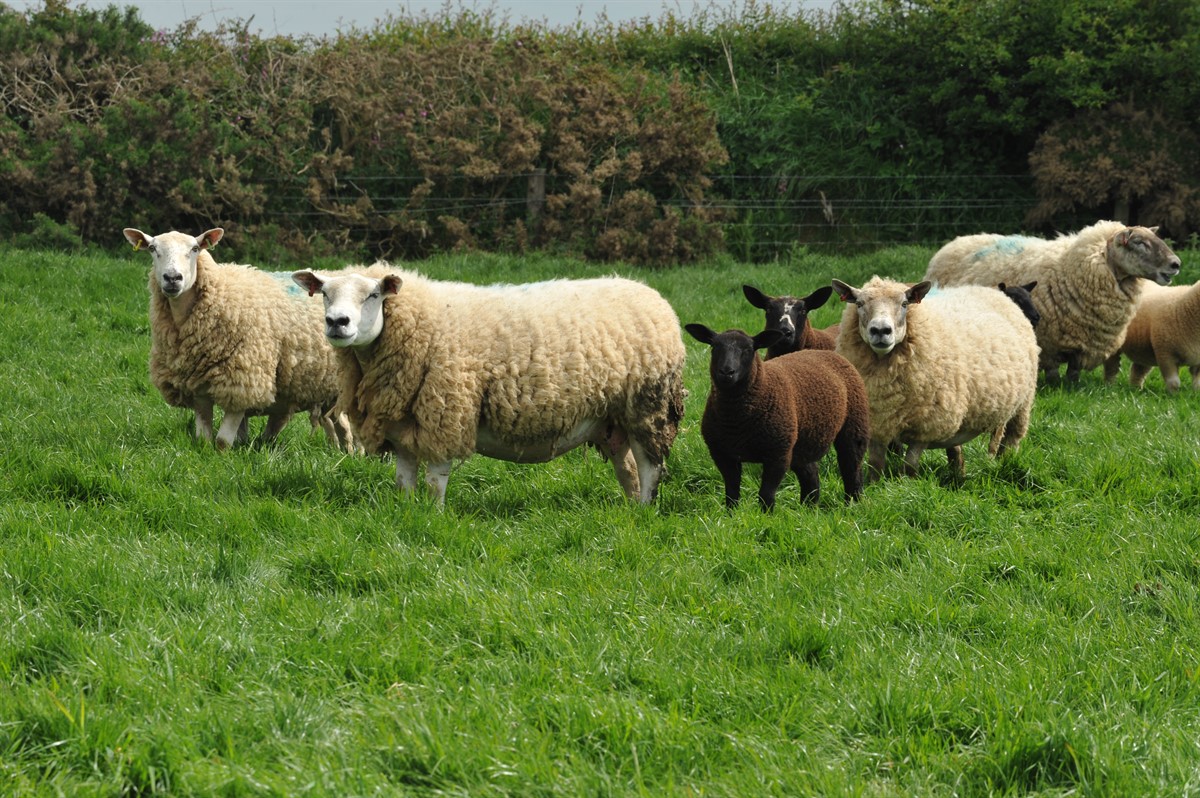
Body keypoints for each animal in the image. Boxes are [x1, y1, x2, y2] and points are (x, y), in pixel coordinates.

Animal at [124, 227, 351, 450]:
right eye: (152, 248)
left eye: (195, 248)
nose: (172, 278)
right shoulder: (198, 386)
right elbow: (203, 439)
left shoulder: (244, 381)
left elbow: (222, 442)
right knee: (336, 425)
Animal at [291, 266, 686, 506]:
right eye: (324, 293)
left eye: (373, 295)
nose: (337, 322)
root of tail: (651, 295)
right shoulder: (402, 426)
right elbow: (404, 482)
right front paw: (406, 513)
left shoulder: (446, 414)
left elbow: (436, 480)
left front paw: (433, 517)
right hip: (612, 419)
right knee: (627, 469)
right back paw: (629, 510)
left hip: (647, 407)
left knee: (651, 468)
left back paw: (645, 510)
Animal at [683, 324, 868, 511]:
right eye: (714, 347)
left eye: (748, 349)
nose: (727, 372)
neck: (737, 422)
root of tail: (830, 353)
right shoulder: (722, 454)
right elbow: (732, 493)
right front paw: (731, 514)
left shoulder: (778, 454)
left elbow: (766, 494)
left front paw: (765, 515)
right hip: (801, 441)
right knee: (811, 475)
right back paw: (808, 508)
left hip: (855, 426)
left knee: (851, 468)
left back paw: (853, 504)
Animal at [832, 276, 1039, 481]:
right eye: (859, 303)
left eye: (905, 303)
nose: (881, 330)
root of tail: (992, 291)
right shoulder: (877, 423)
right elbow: (875, 466)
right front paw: (874, 486)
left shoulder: (925, 428)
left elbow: (909, 467)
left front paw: (906, 485)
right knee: (956, 449)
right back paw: (958, 475)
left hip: (1022, 405)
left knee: (1011, 439)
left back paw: (1005, 463)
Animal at [924, 221, 1181, 384]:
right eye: (1139, 242)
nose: (1176, 264)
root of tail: (955, 242)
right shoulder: (1048, 339)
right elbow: (1055, 371)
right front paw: (1055, 385)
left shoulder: (1083, 341)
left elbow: (1074, 372)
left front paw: (1071, 387)